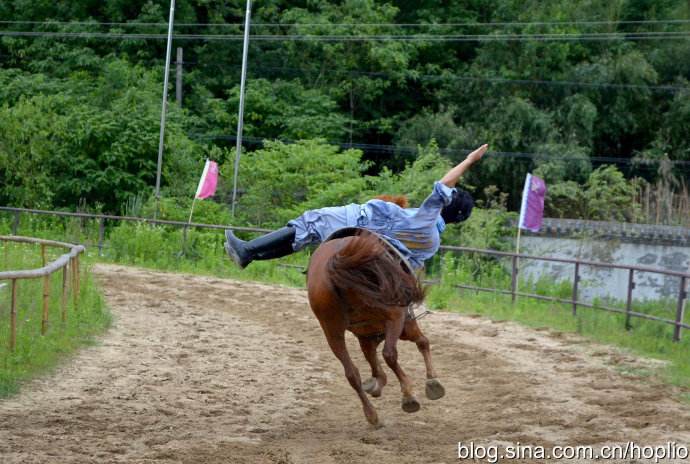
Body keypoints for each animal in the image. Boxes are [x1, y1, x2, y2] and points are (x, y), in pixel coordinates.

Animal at [306, 227, 444, 426]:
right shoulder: (404, 324)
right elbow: (422, 342)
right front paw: (432, 382)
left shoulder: (365, 336)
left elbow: (372, 360)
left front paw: (376, 382)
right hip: (395, 316)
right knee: (390, 354)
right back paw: (408, 397)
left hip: (332, 331)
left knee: (352, 373)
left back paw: (372, 415)